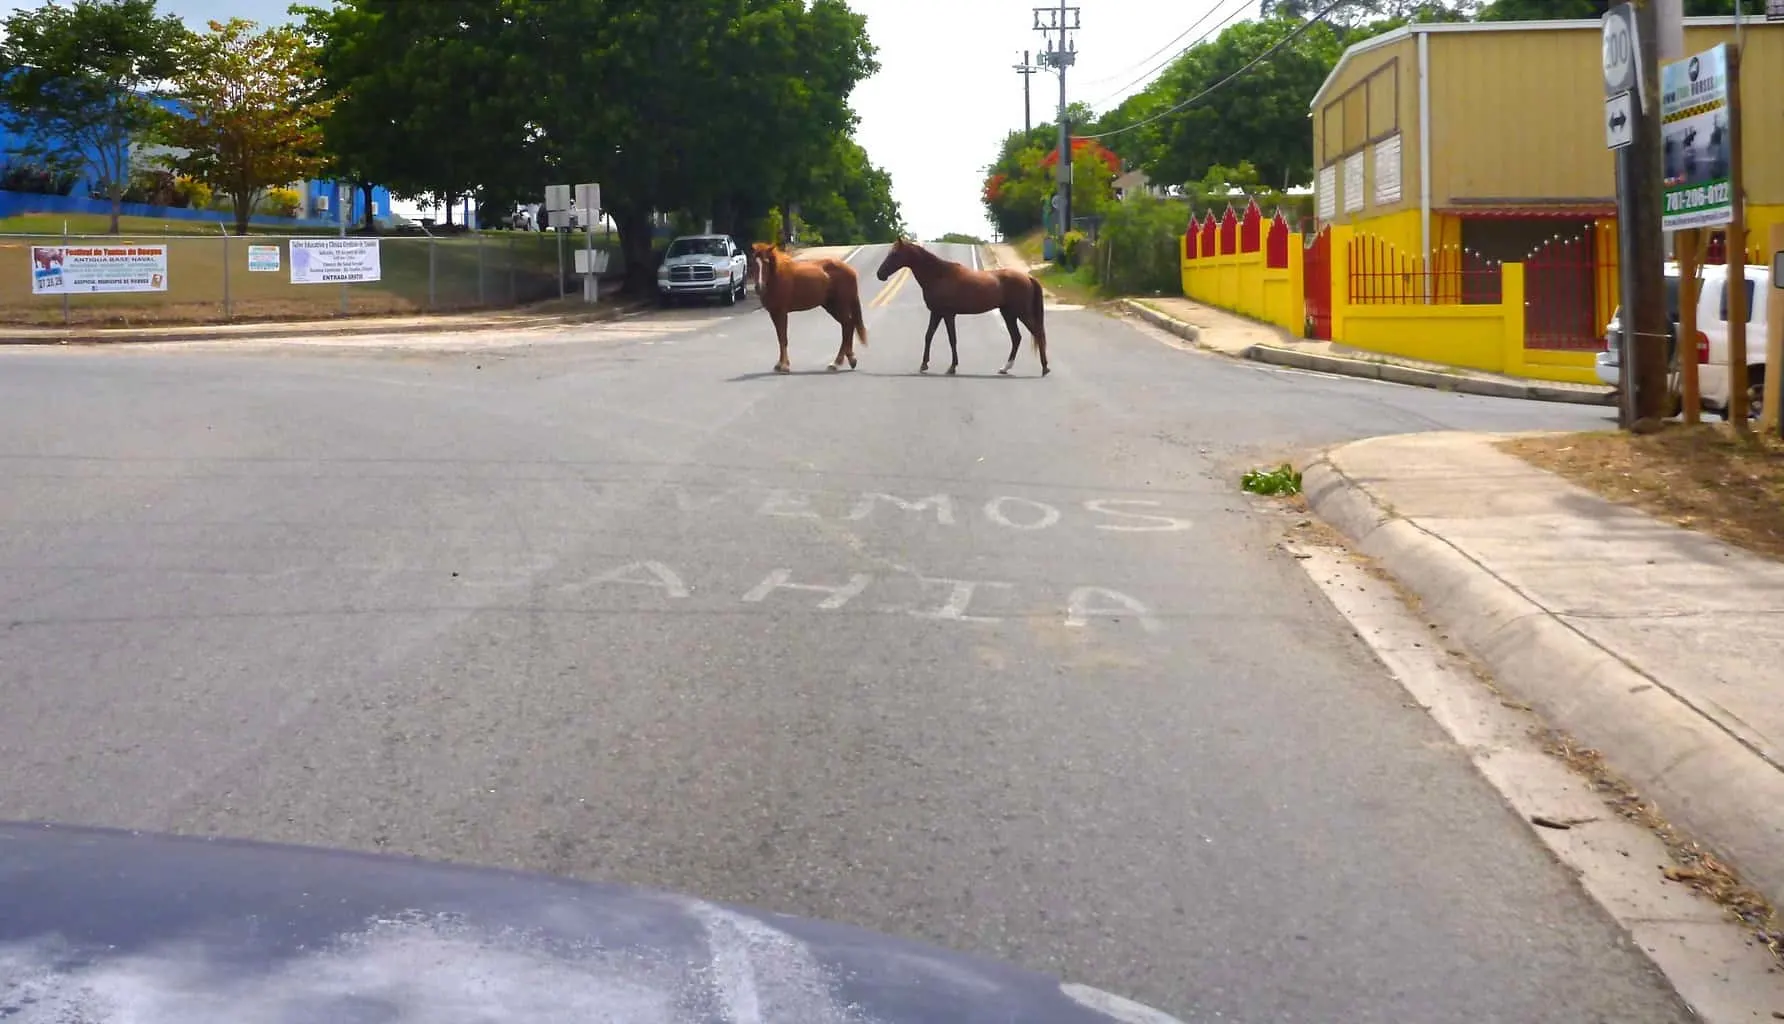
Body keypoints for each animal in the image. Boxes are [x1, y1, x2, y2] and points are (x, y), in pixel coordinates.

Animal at [749, 242, 867, 374]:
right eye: (753, 263)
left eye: (766, 262)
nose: (759, 287)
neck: (777, 277)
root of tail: (851, 271)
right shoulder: (773, 313)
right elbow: (780, 337)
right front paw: (780, 364)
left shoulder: (781, 312)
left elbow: (783, 338)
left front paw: (784, 366)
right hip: (831, 307)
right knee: (848, 325)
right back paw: (848, 360)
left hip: (840, 305)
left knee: (847, 326)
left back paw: (837, 363)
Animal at [874, 239, 1041, 378]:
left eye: (894, 254)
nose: (879, 274)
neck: (939, 276)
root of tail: (1028, 278)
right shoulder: (936, 313)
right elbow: (928, 336)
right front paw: (924, 364)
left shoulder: (948, 314)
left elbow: (952, 339)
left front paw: (952, 367)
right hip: (1008, 314)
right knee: (1016, 338)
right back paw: (1005, 368)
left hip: (1021, 313)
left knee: (1037, 334)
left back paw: (1044, 368)